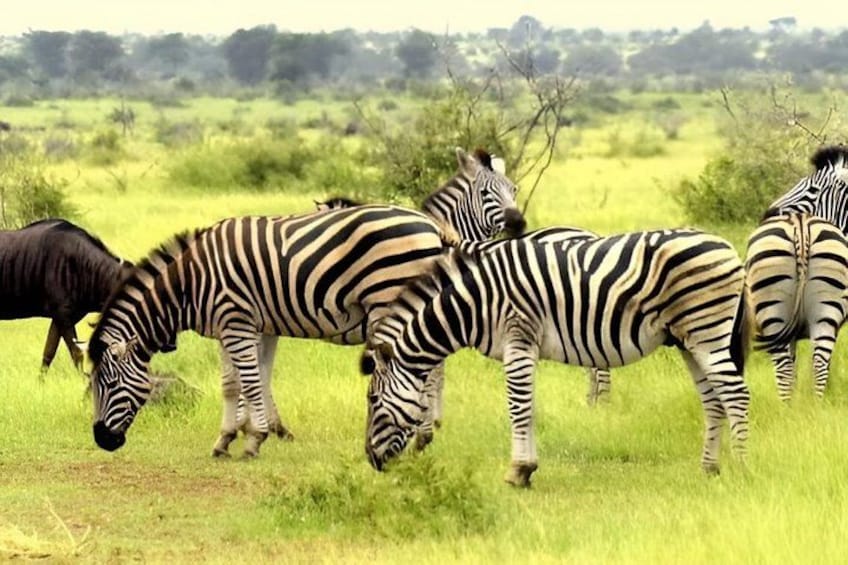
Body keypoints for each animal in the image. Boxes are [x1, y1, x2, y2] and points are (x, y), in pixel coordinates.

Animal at [89, 206, 466, 456]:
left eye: (108, 384)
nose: (102, 440)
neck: (190, 282)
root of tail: (431, 224)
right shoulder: (253, 327)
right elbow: (241, 382)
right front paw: (234, 436)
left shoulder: (236, 323)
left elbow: (251, 381)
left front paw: (253, 438)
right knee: (431, 368)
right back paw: (423, 433)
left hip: (390, 297)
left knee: (423, 369)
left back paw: (420, 434)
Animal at [362, 230, 750, 486]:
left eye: (373, 399)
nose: (371, 460)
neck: (474, 303)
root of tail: (728, 247)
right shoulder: (525, 347)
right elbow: (529, 406)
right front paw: (528, 468)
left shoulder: (517, 337)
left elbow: (518, 408)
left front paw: (517, 471)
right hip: (689, 340)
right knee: (714, 401)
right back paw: (709, 468)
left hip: (707, 332)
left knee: (736, 394)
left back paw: (741, 466)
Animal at [745, 213, 848, 401]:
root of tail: (800, 222)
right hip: (825, 314)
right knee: (819, 364)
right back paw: (815, 404)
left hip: (775, 316)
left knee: (785, 368)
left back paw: (786, 406)